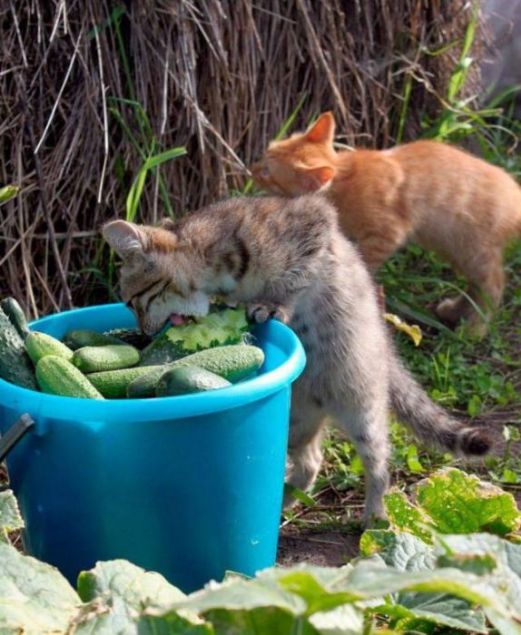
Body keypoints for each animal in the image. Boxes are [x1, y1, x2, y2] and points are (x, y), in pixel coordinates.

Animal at [102, 193, 492, 523]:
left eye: (131, 301)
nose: (144, 335)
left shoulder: (316, 222)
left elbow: (294, 278)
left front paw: (273, 303)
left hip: (360, 408)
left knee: (380, 461)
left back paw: (376, 515)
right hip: (295, 423)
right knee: (311, 463)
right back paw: (284, 501)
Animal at [251, 112, 521, 337]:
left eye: (267, 173)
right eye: (265, 151)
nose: (251, 168)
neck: (343, 179)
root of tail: (515, 194)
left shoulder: (387, 234)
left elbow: (365, 259)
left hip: (475, 252)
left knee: (494, 284)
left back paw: (475, 329)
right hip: (456, 250)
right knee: (475, 286)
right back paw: (454, 311)